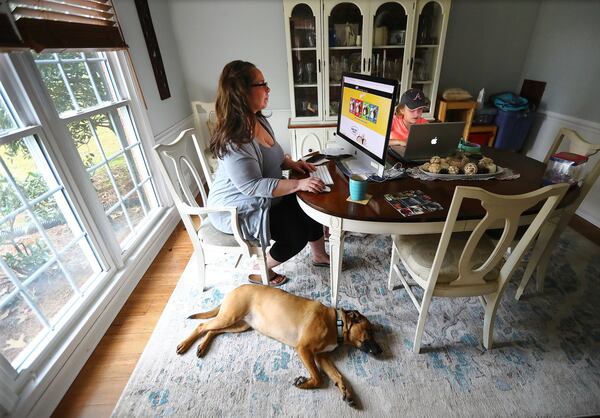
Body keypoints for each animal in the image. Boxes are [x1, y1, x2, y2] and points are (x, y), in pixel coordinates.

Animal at [175, 282, 380, 406]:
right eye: (369, 332)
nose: (381, 351)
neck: (336, 323)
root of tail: (235, 288)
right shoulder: (304, 350)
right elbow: (319, 377)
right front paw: (304, 383)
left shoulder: (321, 356)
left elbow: (337, 375)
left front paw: (346, 391)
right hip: (230, 316)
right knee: (202, 326)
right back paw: (185, 345)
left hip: (239, 325)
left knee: (213, 330)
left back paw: (202, 347)